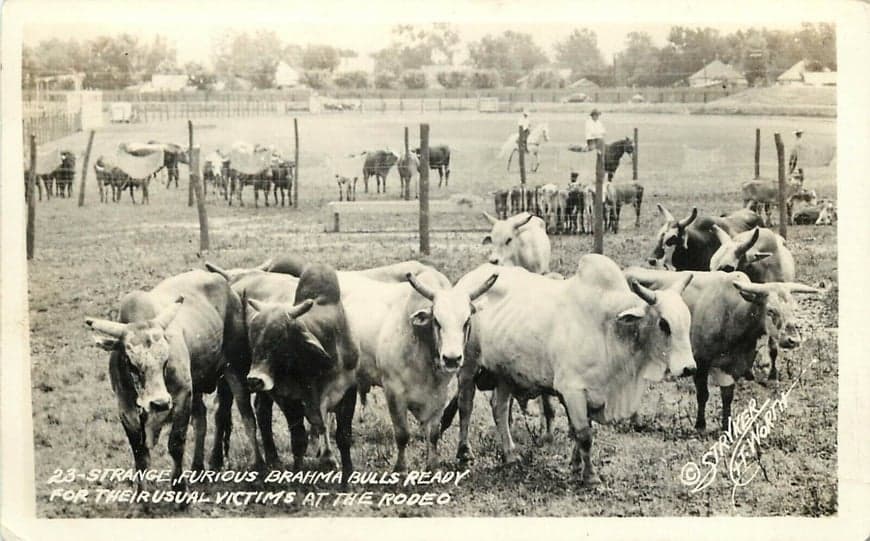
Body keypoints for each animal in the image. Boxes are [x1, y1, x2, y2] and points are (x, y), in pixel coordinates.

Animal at [84, 270, 264, 490]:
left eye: (165, 361)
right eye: (131, 363)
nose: (160, 403)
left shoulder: (181, 396)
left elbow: (176, 445)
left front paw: (179, 488)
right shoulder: (125, 408)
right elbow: (140, 455)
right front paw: (141, 494)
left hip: (234, 369)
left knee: (247, 417)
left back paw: (258, 465)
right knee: (201, 419)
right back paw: (198, 468)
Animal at [454, 255, 700, 484]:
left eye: (687, 321)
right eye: (664, 324)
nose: (689, 368)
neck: (609, 328)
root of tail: (468, 279)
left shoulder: (589, 394)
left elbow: (578, 431)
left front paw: (575, 467)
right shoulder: (572, 390)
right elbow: (584, 435)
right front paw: (591, 477)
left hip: (504, 373)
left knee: (500, 409)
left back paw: (510, 455)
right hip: (467, 366)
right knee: (466, 406)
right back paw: (465, 453)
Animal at [628, 266, 816, 430]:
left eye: (794, 309)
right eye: (770, 310)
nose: (792, 340)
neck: (730, 314)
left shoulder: (733, 366)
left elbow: (727, 396)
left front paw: (727, 426)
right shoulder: (700, 362)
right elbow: (703, 394)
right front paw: (700, 425)